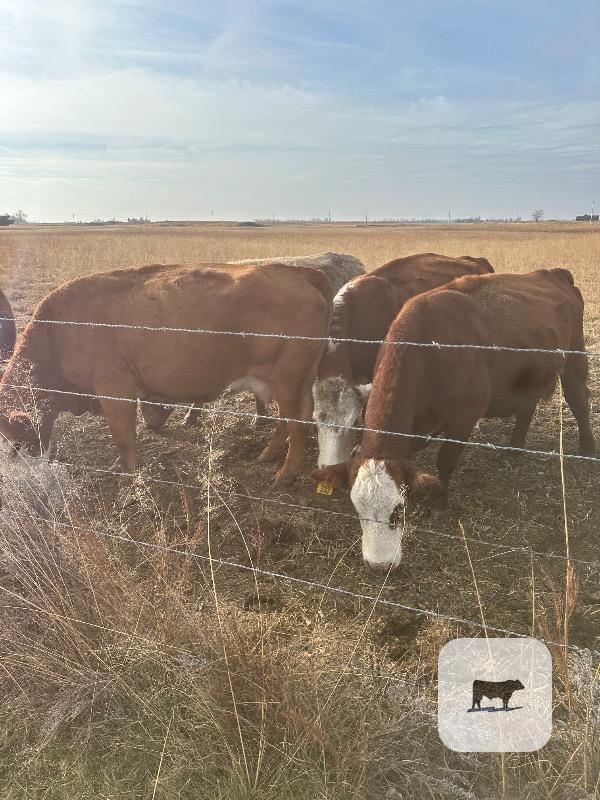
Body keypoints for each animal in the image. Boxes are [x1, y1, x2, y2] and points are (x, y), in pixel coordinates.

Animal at [0, 262, 332, 486]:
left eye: (13, 440)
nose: (23, 477)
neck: (60, 331)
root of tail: (296, 272)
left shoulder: (115, 388)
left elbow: (123, 437)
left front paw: (130, 480)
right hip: (290, 383)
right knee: (289, 421)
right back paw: (268, 454)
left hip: (288, 380)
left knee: (297, 426)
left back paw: (284, 475)